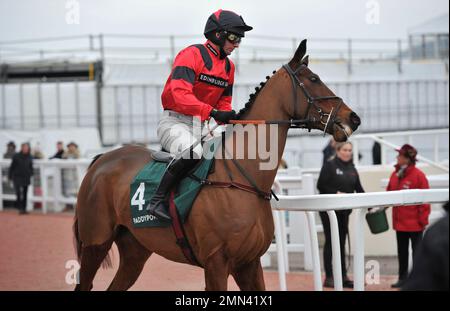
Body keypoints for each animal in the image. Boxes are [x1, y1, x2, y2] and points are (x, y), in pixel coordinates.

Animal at [74, 40, 362, 292]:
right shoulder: (216, 263)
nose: (353, 118)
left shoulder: (249, 264)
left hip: (135, 251)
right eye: (313, 79)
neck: (242, 178)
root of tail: (101, 160)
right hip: (95, 243)